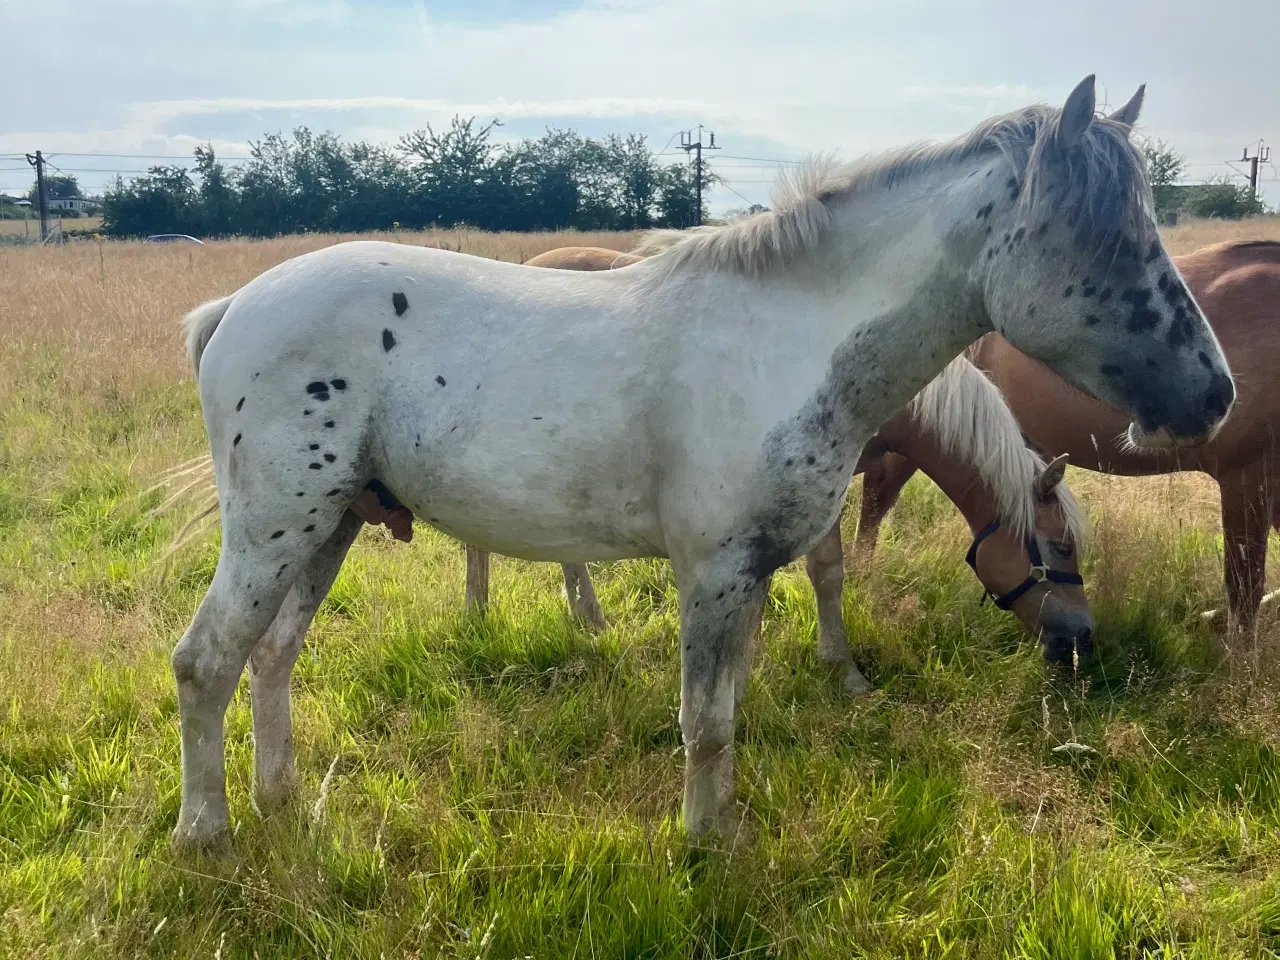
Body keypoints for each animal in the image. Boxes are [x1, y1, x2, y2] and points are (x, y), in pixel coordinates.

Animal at [167, 79, 1228, 855]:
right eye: (1110, 239)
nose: (1215, 393)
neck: (784, 341)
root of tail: (235, 308)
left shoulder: (751, 574)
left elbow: (732, 708)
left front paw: (723, 827)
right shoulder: (713, 574)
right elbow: (705, 719)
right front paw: (705, 851)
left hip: (331, 526)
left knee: (270, 658)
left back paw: (281, 803)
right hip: (274, 533)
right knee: (205, 662)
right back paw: (206, 836)